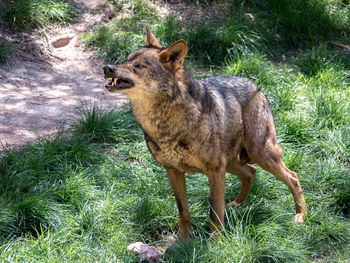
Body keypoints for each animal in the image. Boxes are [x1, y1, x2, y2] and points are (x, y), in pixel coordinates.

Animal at [102, 28, 308, 239]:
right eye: (126, 60)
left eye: (139, 66)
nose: (107, 68)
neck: (165, 124)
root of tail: (256, 85)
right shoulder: (173, 170)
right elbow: (183, 210)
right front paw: (184, 240)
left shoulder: (215, 170)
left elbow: (214, 211)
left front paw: (217, 242)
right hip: (233, 161)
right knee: (251, 172)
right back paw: (237, 205)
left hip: (260, 155)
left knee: (292, 176)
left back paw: (301, 215)